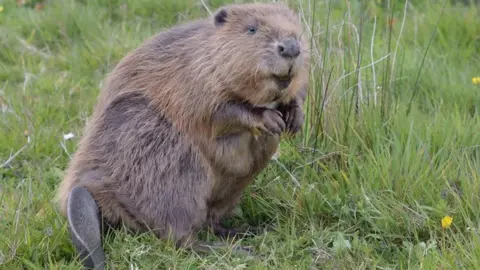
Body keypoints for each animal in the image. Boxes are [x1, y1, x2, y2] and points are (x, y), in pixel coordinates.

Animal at [57, 2, 312, 268]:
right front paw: (269, 118)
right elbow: (218, 111)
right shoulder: (193, 76)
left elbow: (299, 90)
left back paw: (245, 230)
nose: (291, 47)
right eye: (251, 28)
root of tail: (84, 189)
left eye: (296, 26)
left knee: (211, 219)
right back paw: (235, 249)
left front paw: (294, 117)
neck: (203, 51)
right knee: (177, 234)